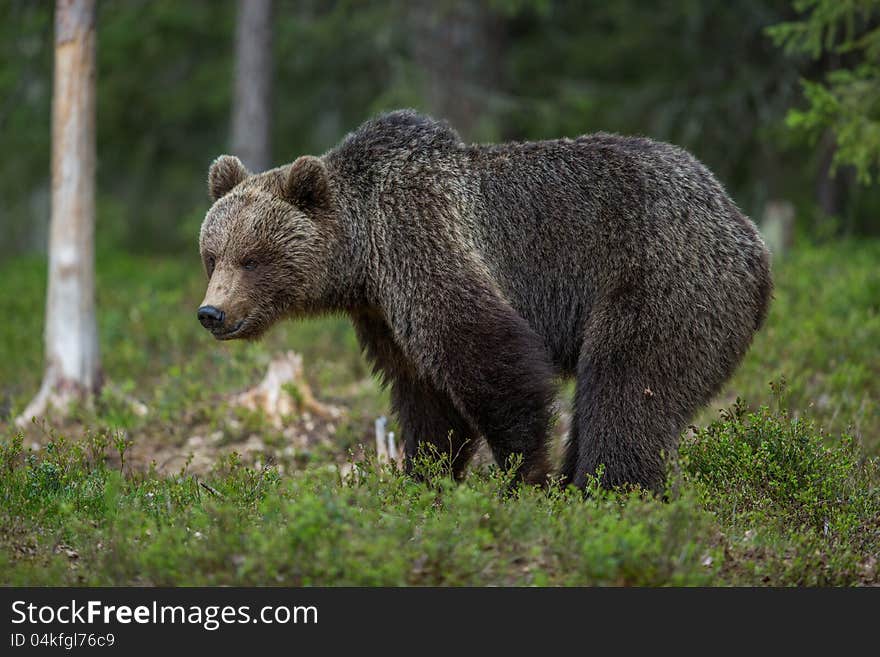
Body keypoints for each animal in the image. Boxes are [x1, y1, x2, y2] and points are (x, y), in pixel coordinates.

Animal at [198, 110, 768, 492]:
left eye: (252, 258)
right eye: (212, 255)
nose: (211, 313)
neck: (359, 259)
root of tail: (747, 232)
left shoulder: (420, 239)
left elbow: (488, 356)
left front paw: (523, 475)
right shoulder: (384, 314)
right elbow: (427, 397)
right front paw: (423, 478)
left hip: (663, 279)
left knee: (627, 387)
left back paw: (604, 490)